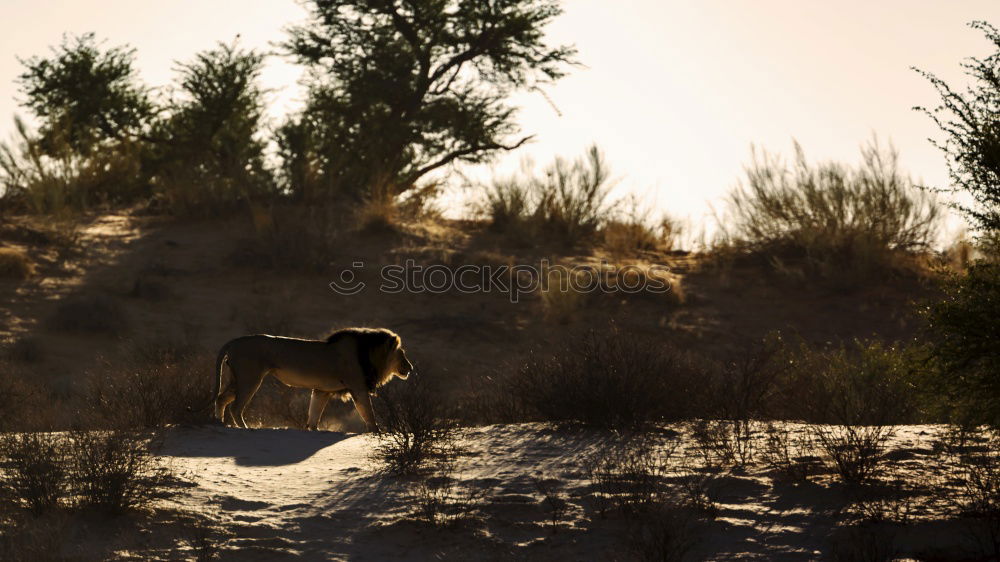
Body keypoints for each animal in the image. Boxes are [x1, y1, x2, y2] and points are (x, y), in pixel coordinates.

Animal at [193, 326, 412, 430]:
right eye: (402, 354)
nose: (410, 368)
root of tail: (234, 341)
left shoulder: (322, 391)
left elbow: (314, 415)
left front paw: (312, 429)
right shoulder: (358, 387)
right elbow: (369, 414)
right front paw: (378, 433)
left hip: (237, 379)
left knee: (221, 399)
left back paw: (219, 423)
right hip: (250, 378)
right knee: (236, 407)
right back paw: (245, 429)